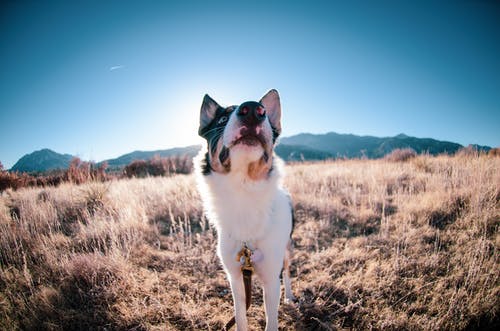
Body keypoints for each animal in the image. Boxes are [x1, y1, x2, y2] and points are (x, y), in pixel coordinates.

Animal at [195, 89, 294, 330]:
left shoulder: (271, 279)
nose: (253, 110)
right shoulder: (236, 278)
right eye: (222, 119)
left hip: (286, 249)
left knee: (287, 272)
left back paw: (290, 297)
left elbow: (271, 320)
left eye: (264, 114)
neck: (243, 188)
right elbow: (240, 316)